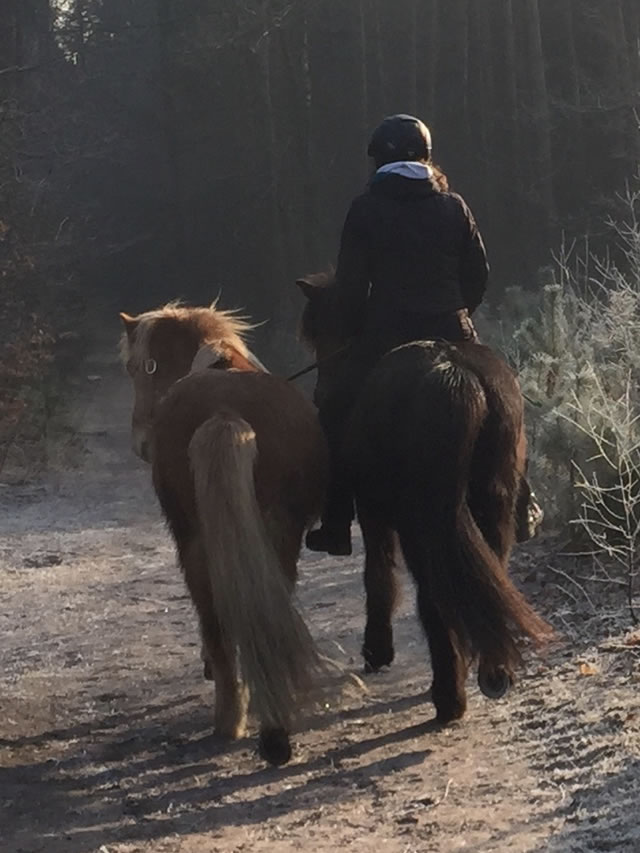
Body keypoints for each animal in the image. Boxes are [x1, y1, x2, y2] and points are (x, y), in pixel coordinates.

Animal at [121, 302, 330, 764]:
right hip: (270, 536)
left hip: (195, 540)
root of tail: (223, 413)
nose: (140, 444)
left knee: (219, 623)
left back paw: (232, 719)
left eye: (137, 367)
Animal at [296, 276, 552, 724]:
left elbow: (378, 575)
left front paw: (377, 651)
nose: (320, 390)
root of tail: (456, 378)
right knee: (488, 576)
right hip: (490, 504)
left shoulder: (374, 515)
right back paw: (491, 671)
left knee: (435, 599)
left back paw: (449, 697)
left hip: (419, 523)